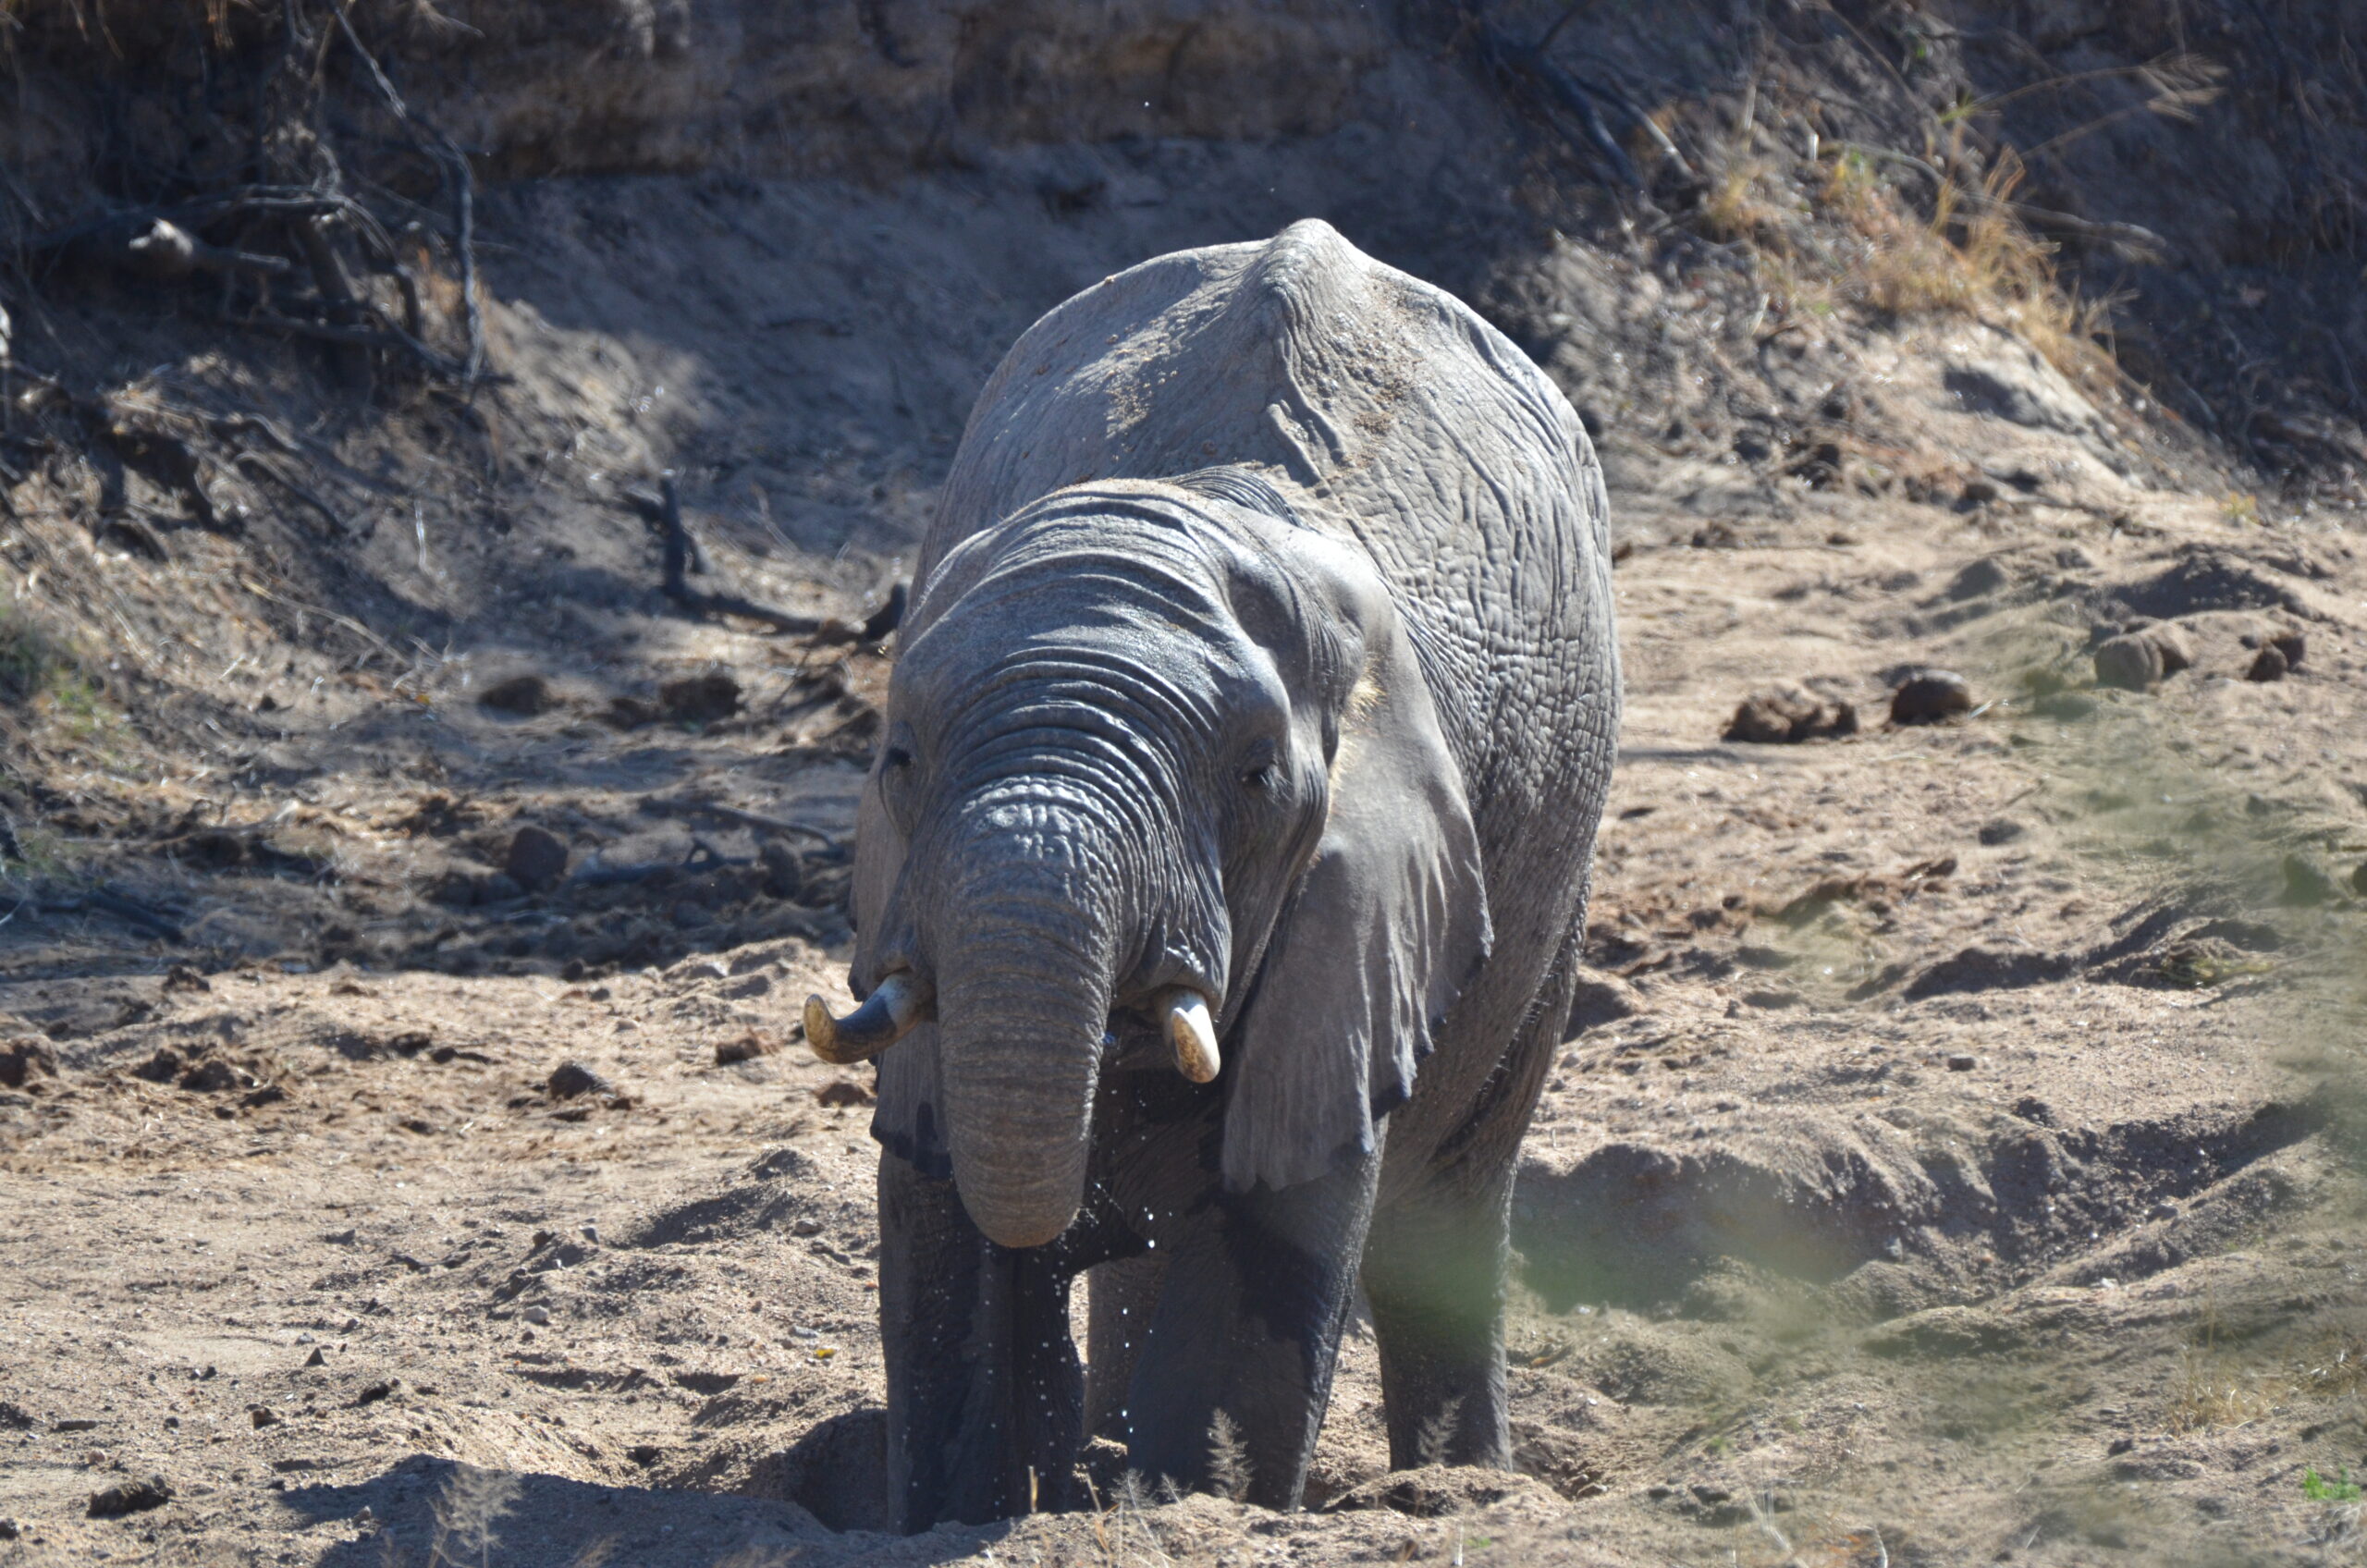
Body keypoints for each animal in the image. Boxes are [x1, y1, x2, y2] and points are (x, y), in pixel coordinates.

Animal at [804, 221, 1619, 1535]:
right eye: (899, 760)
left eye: (1254, 779)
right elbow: (936, 1230)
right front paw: (990, 1506)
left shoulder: (1360, 912)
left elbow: (1263, 1246)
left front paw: (1171, 1502)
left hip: (1562, 877)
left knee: (1450, 1201)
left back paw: (1456, 1492)